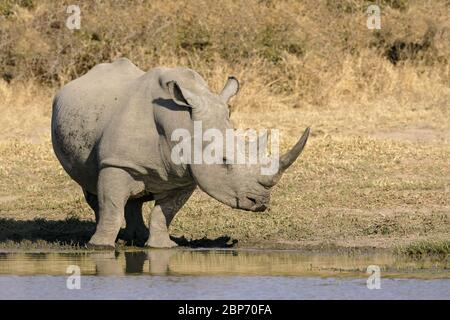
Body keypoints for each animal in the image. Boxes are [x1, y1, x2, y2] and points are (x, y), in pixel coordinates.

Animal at [50, 57, 310, 249]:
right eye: (224, 160)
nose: (260, 202)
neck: (182, 123)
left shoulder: (185, 175)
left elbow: (165, 213)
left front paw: (162, 247)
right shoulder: (116, 162)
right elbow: (111, 207)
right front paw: (100, 247)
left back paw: (137, 237)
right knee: (93, 188)